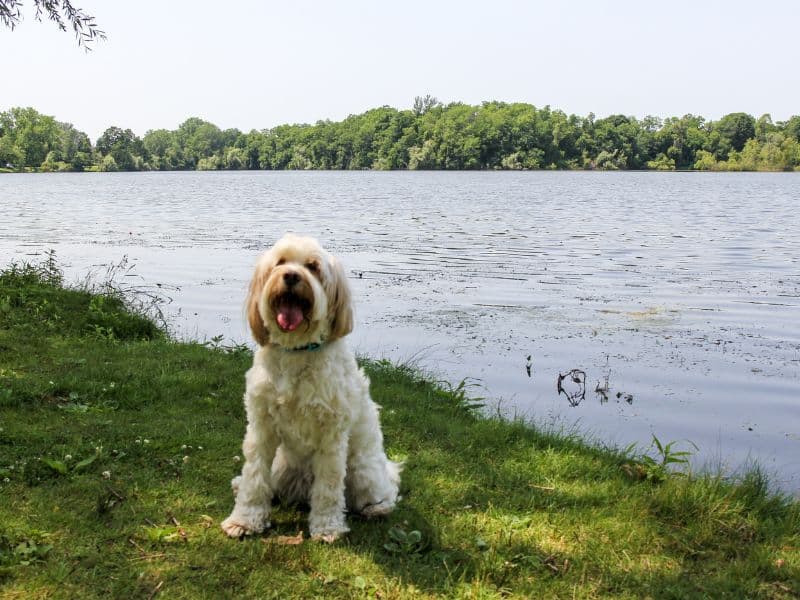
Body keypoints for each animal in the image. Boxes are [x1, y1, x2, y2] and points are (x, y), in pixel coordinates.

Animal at [220, 236, 400, 544]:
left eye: (313, 267)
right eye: (280, 262)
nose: (292, 276)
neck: (297, 350)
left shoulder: (331, 435)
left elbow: (328, 486)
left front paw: (327, 528)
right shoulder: (261, 426)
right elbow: (255, 477)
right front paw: (244, 520)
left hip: (363, 471)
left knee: (381, 494)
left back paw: (376, 508)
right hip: (281, 466)